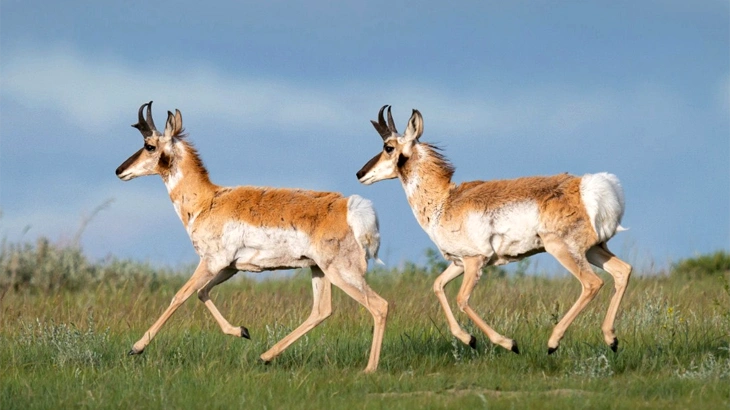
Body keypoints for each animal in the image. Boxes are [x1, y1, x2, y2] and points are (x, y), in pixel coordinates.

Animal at [116, 102, 388, 373]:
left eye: (149, 145)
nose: (119, 170)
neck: (208, 200)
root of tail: (349, 207)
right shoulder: (230, 267)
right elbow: (202, 293)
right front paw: (242, 331)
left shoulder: (210, 263)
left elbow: (180, 295)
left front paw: (136, 347)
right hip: (319, 270)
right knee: (321, 310)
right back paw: (265, 356)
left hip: (341, 272)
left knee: (379, 305)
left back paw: (369, 369)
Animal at [356, 106, 632, 355]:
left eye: (388, 147)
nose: (360, 173)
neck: (445, 201)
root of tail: (591, 186)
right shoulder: (460, 262)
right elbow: (437, 286)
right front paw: (469, 339)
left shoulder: (475, 260)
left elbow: (461, 299)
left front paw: (507, 343)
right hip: (594, 250)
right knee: (622, 271)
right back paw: (611, 339)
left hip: (562, 249)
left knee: (592, 283)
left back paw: (553, 342)